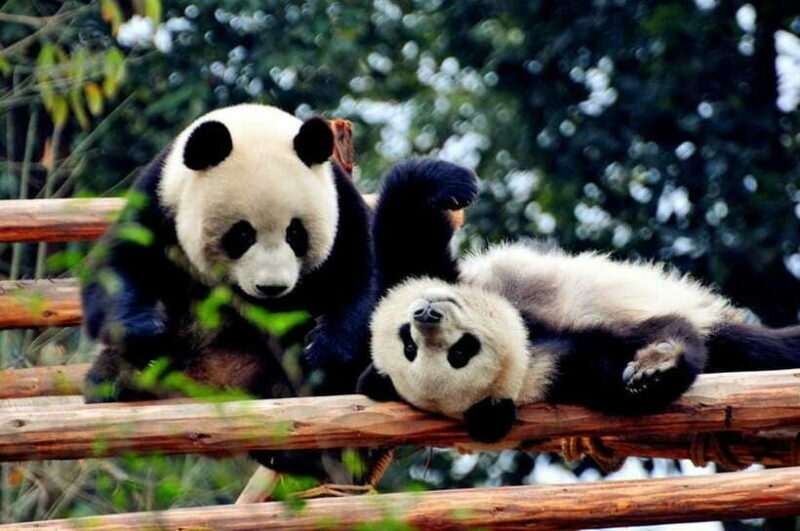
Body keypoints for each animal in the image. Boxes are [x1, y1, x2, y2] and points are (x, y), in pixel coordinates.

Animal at [81, 103, 376, 404]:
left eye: (295, 233)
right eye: (242, 234)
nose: (272, 288)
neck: (252, 124)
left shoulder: (342, 206)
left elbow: (363, 277)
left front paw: (322, 349)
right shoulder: (158, 200)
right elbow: (117, 267)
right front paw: (145, 329)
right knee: (110, 367)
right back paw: (126, 381)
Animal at [357, 171, 800, 443]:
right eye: (458, 354)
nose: (425, 315)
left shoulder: (421, 272)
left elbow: (404, 232)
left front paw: (447, 182)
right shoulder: (562, 371)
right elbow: (644, 353)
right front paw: (656, 368)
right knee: (754, 346)